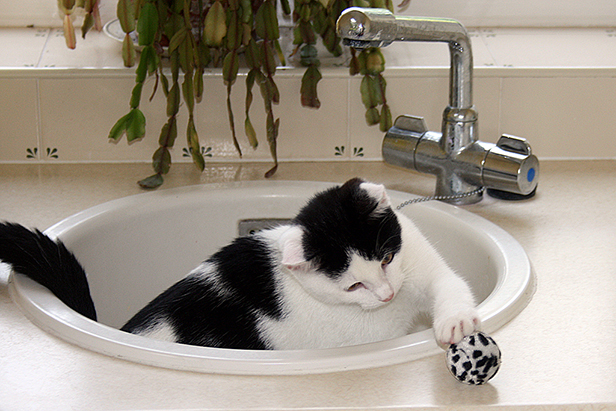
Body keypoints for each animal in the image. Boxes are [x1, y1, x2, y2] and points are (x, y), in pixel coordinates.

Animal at [0, 178, 482, 350]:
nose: (387, 294)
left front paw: (455, 323)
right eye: (352, 286)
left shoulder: (423, 268)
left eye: (386, 257)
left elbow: (450, 286)